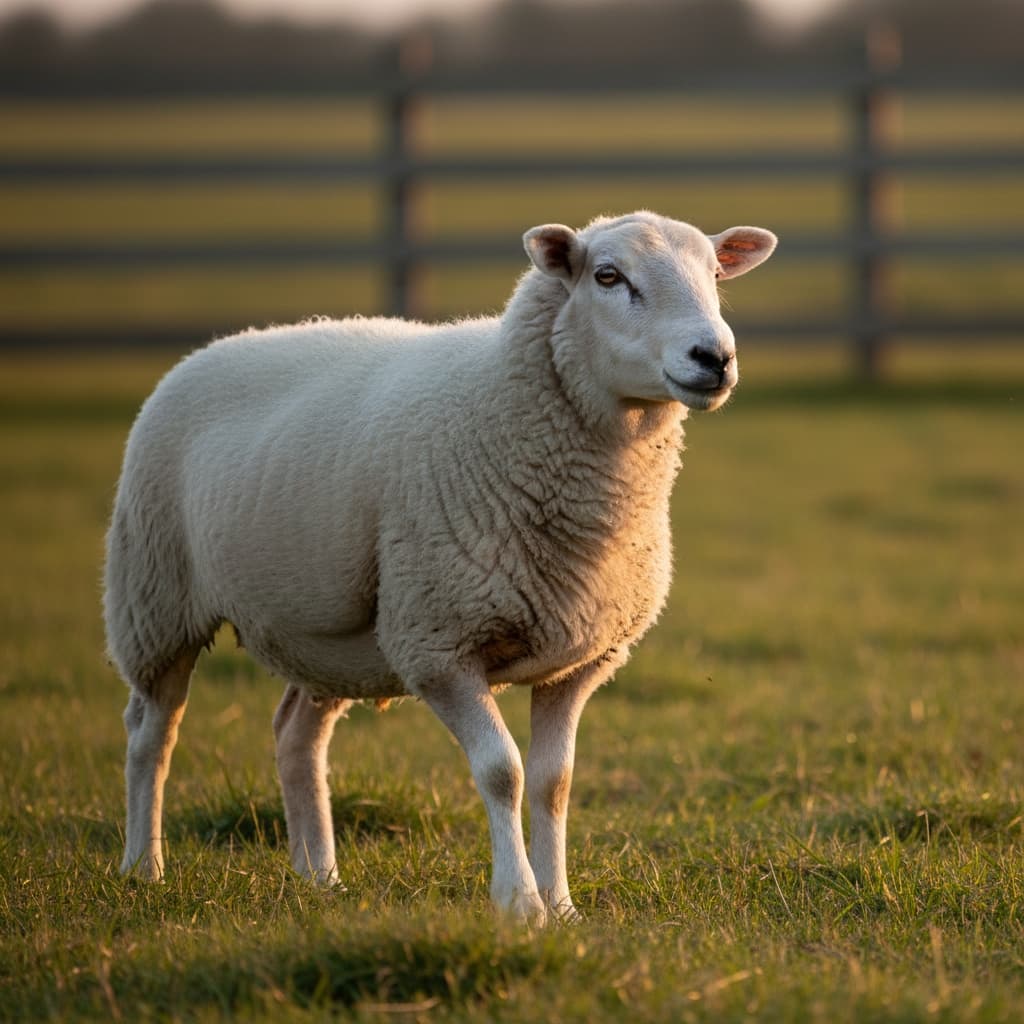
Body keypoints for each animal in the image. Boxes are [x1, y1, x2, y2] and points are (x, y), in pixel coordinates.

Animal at [104, 210, 776, 924]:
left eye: (715, 274)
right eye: (607, 276)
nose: (715, 357)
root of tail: (212, 348)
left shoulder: (579, 660)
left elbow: (554, 782)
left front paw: (562, 906)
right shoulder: (438, 643)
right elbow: (502, 772)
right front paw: (519, 903)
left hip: (325, 634)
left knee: (296, 735)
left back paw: (320, 878)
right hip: (154, 595)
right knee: (150, 733)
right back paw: (144, 868)